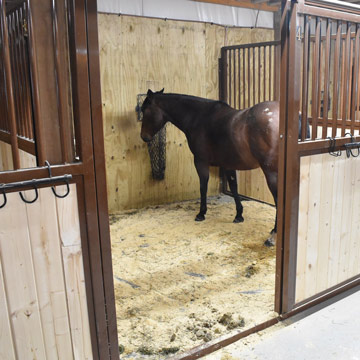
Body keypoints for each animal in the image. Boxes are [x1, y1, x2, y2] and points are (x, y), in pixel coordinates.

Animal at [140, 89, 278, 245]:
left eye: (144, 110)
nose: (143, 136)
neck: (199, 117)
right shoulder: (228, 164)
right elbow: (234, 187)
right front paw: (238, 215)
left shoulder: (200, 161)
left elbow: (203, 186)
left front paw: (201, 213)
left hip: (272, 173)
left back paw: (273, 236)